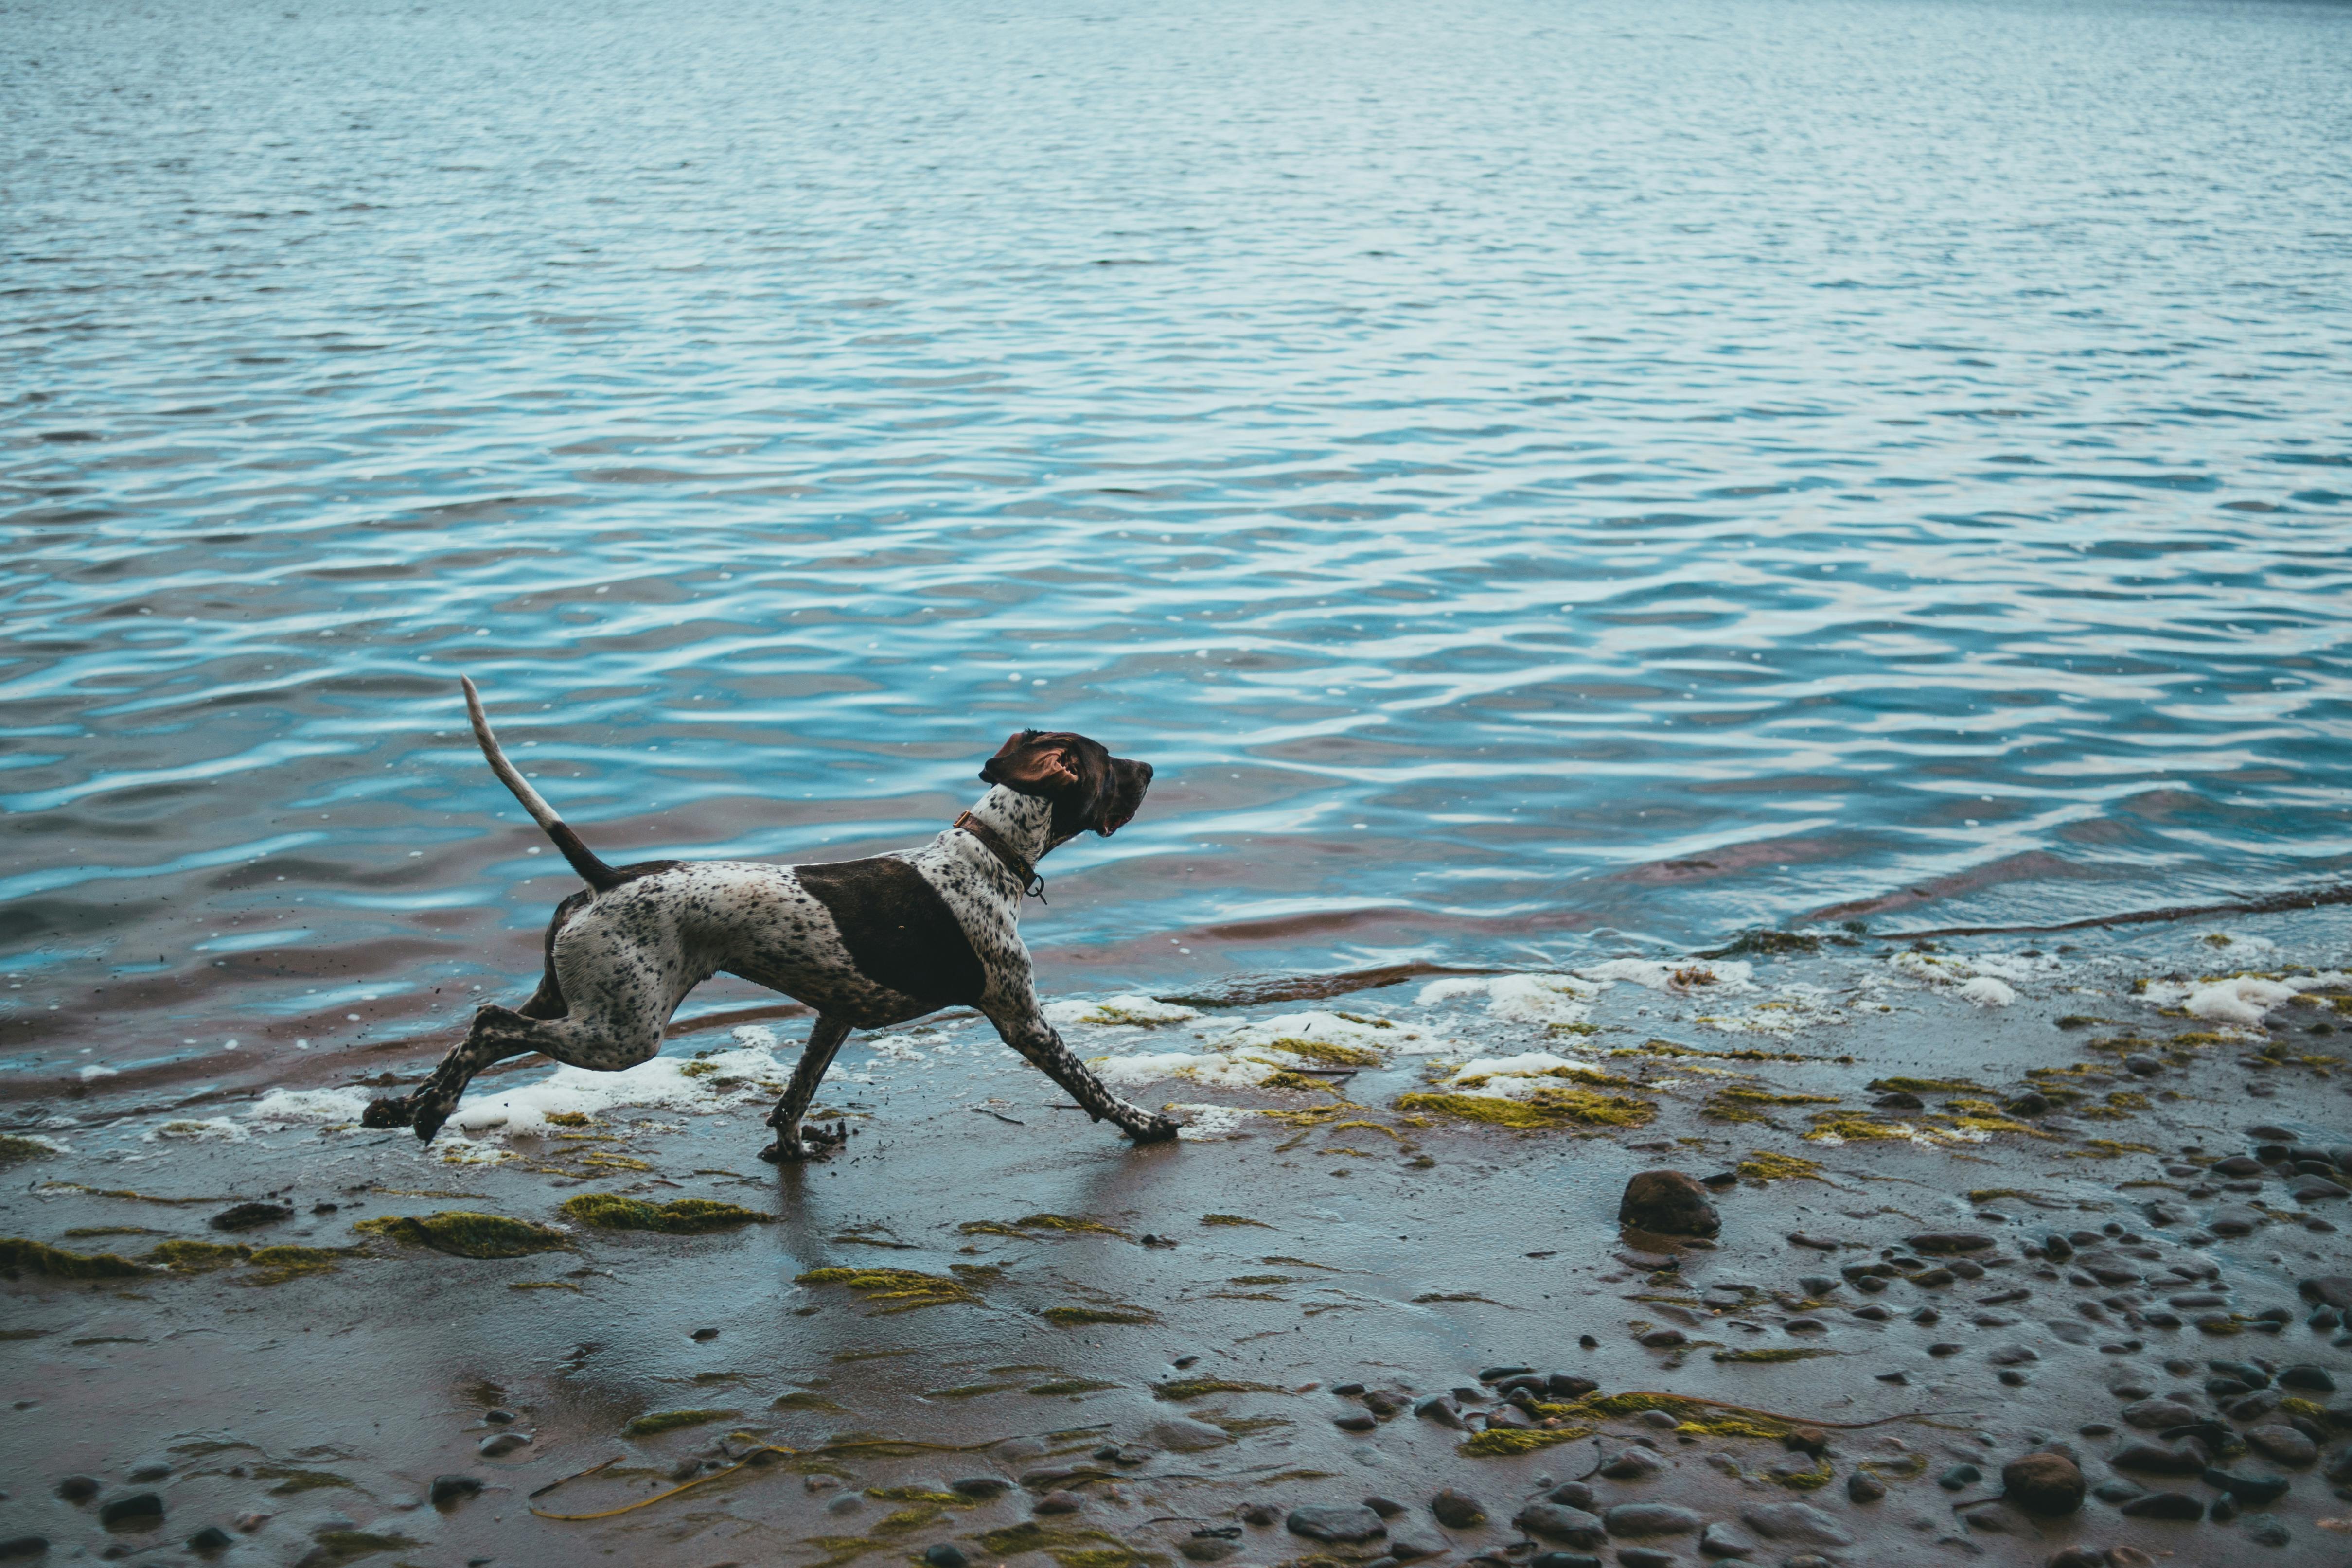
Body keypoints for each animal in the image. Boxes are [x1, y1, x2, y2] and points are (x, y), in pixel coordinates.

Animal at [357, 682, 1185, 1161]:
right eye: (1112, 764)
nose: (1153, 769)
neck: (985, 854)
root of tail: (607, 878)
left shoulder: (836, 1013)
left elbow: (795, 1093)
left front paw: (790, 1146)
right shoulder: (1020, 1018)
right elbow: (1092, 1087)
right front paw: (1145, 1124)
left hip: (574, 997)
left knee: (481, 1032)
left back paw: (408, 1107)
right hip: (623, 1031)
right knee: (490, 1023)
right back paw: (427, 1112)